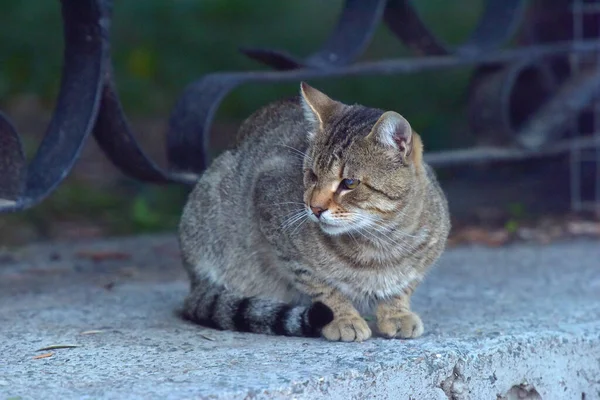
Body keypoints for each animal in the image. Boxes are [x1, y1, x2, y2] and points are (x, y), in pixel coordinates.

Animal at [178, 83, 450, 342]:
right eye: (311, 175)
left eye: (349, 183)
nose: (315, 207)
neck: (380, 242)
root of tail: (193, 282)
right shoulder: (273, 214)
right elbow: (322, 286)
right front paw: (344, 318)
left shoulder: (423, 261)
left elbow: (403, 286)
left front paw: (396, 313)